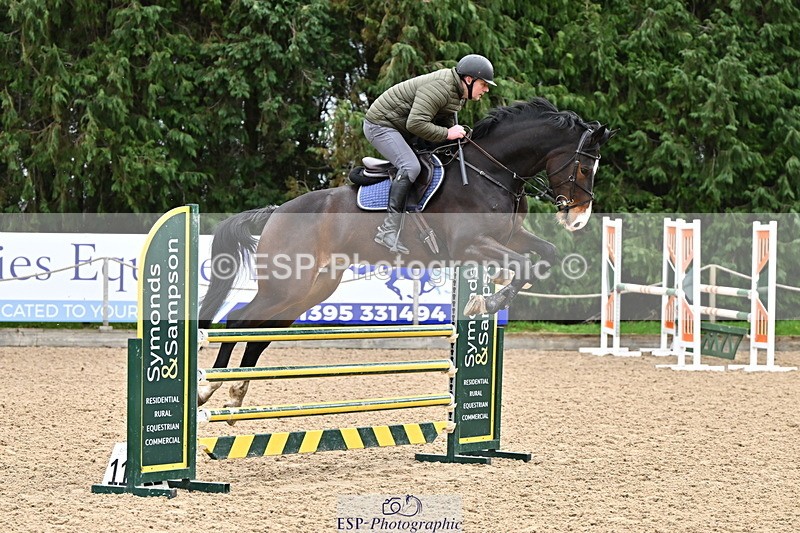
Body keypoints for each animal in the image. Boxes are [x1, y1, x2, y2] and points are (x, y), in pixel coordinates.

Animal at [198, 97, 616, 407]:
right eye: (583, 168)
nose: (579, 218)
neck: (491, 172)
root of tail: (276, 212)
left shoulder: (510, 236)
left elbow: (545, 254)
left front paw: (491, 294)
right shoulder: (472, 244)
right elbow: (525, 266)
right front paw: (489, 301)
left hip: (310, 289)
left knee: (261, 331)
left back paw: (236, 393)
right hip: (286, 287)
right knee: (238, 322)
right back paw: (209, 388)